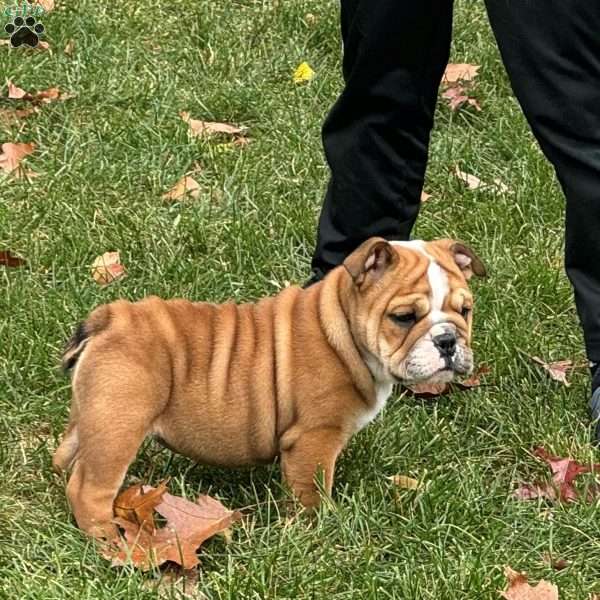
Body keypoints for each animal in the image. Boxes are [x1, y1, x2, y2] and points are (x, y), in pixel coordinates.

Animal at [52, 237, 488, 536]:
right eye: (404, 317)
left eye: (465, 310)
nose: (448, 341)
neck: (342, 332)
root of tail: (111, 319)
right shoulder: (313, 438)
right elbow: (311, 491)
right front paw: (317, 530)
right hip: (120, 425)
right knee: (89, 490)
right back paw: (114, 545)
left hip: (94, 414)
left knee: (68, 456)